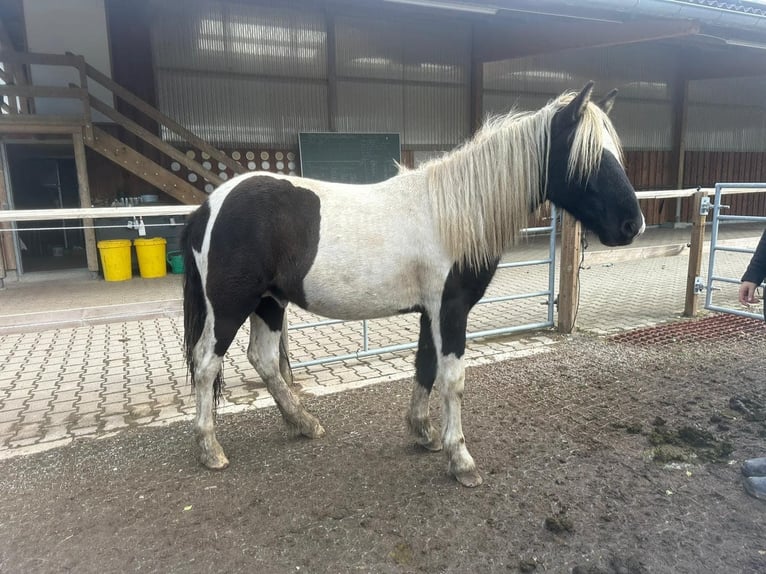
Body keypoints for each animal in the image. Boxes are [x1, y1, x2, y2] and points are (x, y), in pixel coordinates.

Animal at [181, 82, 645, 487]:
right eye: (589, 157)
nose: (632, 224)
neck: (454, 214)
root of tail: (210, 204)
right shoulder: (450, 309)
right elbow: (453, 379)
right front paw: (461, 460)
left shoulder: (430, 311)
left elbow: (425, 366)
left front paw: (423, 432)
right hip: (230, 305)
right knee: (206, 364)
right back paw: (210, 449)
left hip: (269, 302)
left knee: (261, 359)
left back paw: (304, 423)